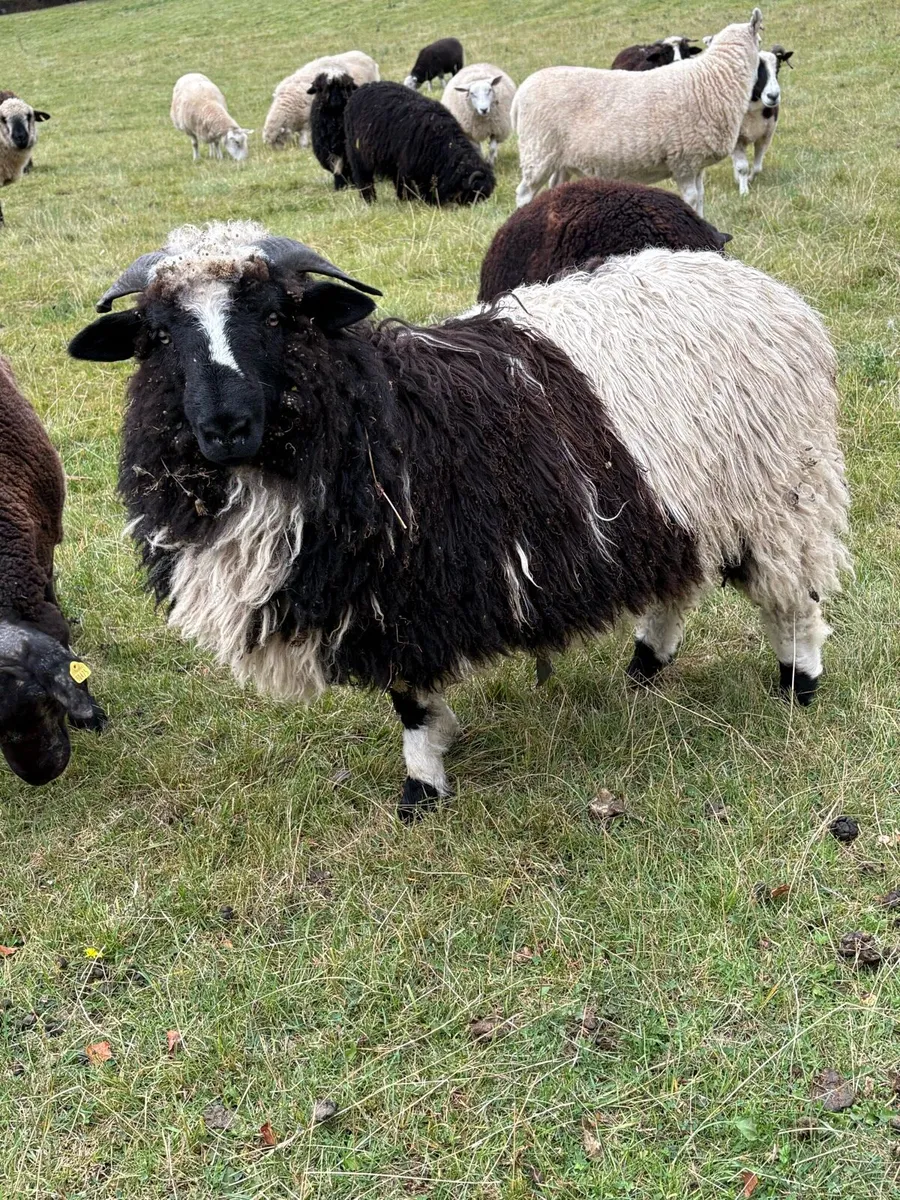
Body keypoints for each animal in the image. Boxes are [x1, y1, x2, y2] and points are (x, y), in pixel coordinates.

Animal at [69, 222, 850, 822]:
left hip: (779, 491)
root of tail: (767, 290)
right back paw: (645, 667)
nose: (224, 426)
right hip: (677, 506)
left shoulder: (400, 593)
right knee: (675, 585)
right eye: (157, 335)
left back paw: (798, 683)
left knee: (794, 598)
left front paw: (422, 789)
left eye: (274, 316)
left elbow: (411, 703)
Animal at [342, 82, 495, 205]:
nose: (479, 207)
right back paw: (369, 200)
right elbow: (421, 184)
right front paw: (429, 201)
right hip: (357, 153)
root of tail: (363, 88)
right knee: (363, 176)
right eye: (475, 193)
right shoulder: (415, 165)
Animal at [512, 8, 764, 216]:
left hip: (560, 160)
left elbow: (701, 199)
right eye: (760, 41)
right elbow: (692, 200)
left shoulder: (697, 162)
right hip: (538, 151)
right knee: (523, 194)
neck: (715, 77)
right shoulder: (683, 161)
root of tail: (520, 93)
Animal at [732, 45, 793, 194]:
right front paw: (744, 191)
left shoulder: (765, 136)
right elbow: (742, 167)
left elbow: (757, 167)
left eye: (778, 68)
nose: (773, 96)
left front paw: (749, 179)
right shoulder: (737, 139)